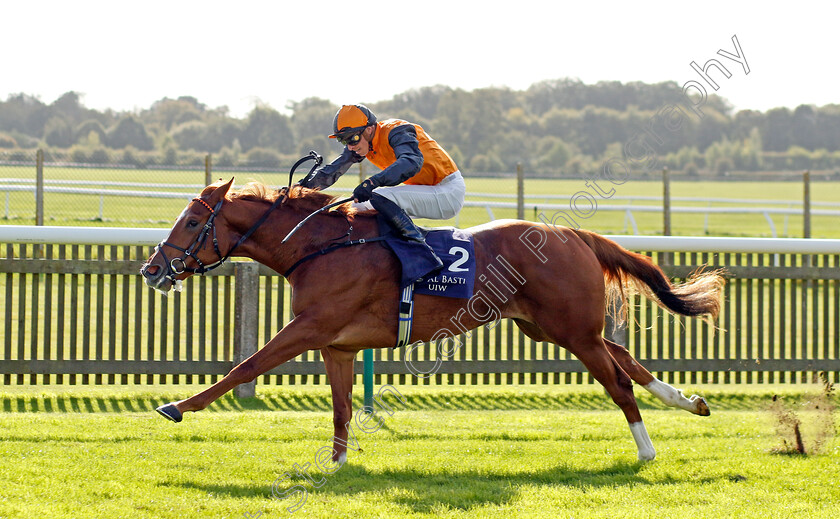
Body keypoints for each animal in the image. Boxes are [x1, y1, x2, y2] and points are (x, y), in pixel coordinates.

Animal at [143, 180, 720, 464]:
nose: (152, 269)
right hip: (552, 326)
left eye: (191, 222)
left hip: (571, 330)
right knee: (625, 358)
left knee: (618, 381)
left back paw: (646, 450)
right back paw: (688, 401)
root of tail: (574, 234)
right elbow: (342, 407)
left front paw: (176, 406)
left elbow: (245, 366)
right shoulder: (337, 345)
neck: (319, 246)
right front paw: (336, 465)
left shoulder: (309, 328)